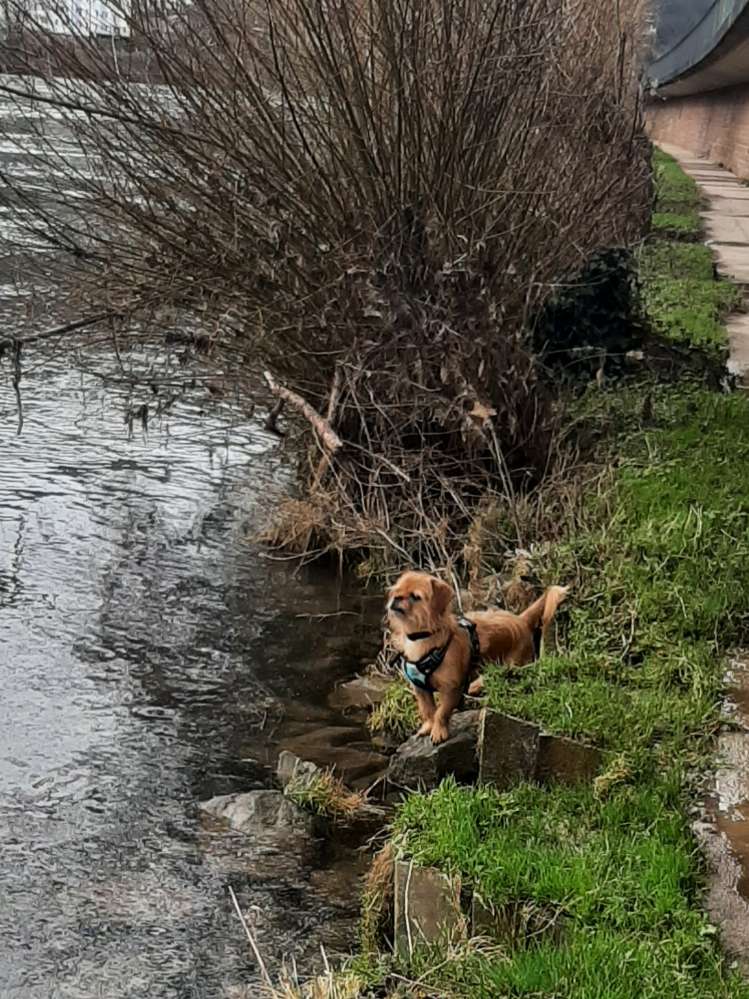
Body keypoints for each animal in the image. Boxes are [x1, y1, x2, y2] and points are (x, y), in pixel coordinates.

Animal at [386, 572, 568, 744]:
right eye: (396, 591)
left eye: (415, 597)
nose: (396, 598)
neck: (422, 637)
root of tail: (520, 620)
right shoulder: (421, 689)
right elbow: (428, 710)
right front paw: (429, 726)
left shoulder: (452, 689)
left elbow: (441, 712)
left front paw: (438, 731)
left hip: (515, 666)